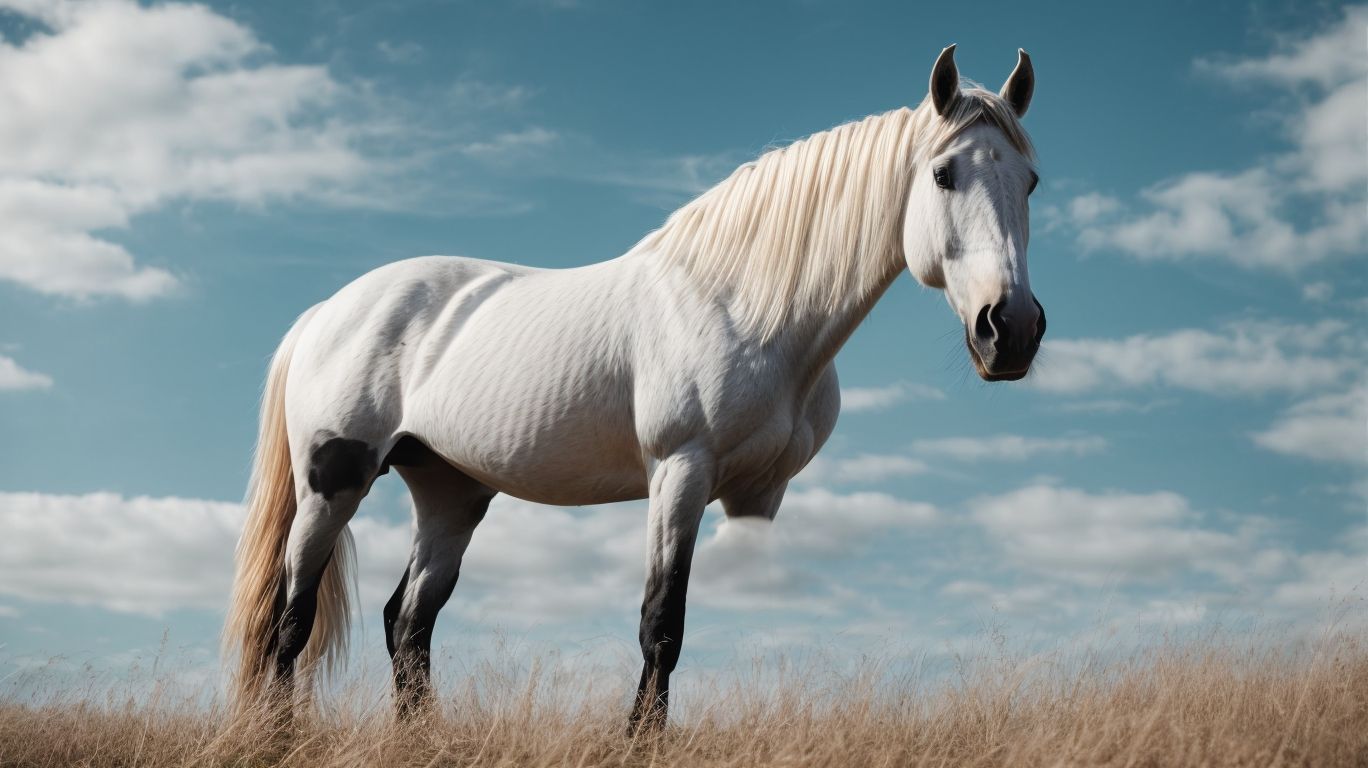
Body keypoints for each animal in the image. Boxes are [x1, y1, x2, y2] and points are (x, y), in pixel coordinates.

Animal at [224, 44, 1044, 731]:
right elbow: (662, 625)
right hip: (333, 483)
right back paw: (280, 736)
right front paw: (640, 738)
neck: (743, 304)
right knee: (290, 619)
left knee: (408, 622)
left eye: (1030, 181)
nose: (1011, 329)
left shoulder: (758, 497)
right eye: (944, 174)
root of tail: (328, 311)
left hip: (451, 492)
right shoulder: (679, 473)